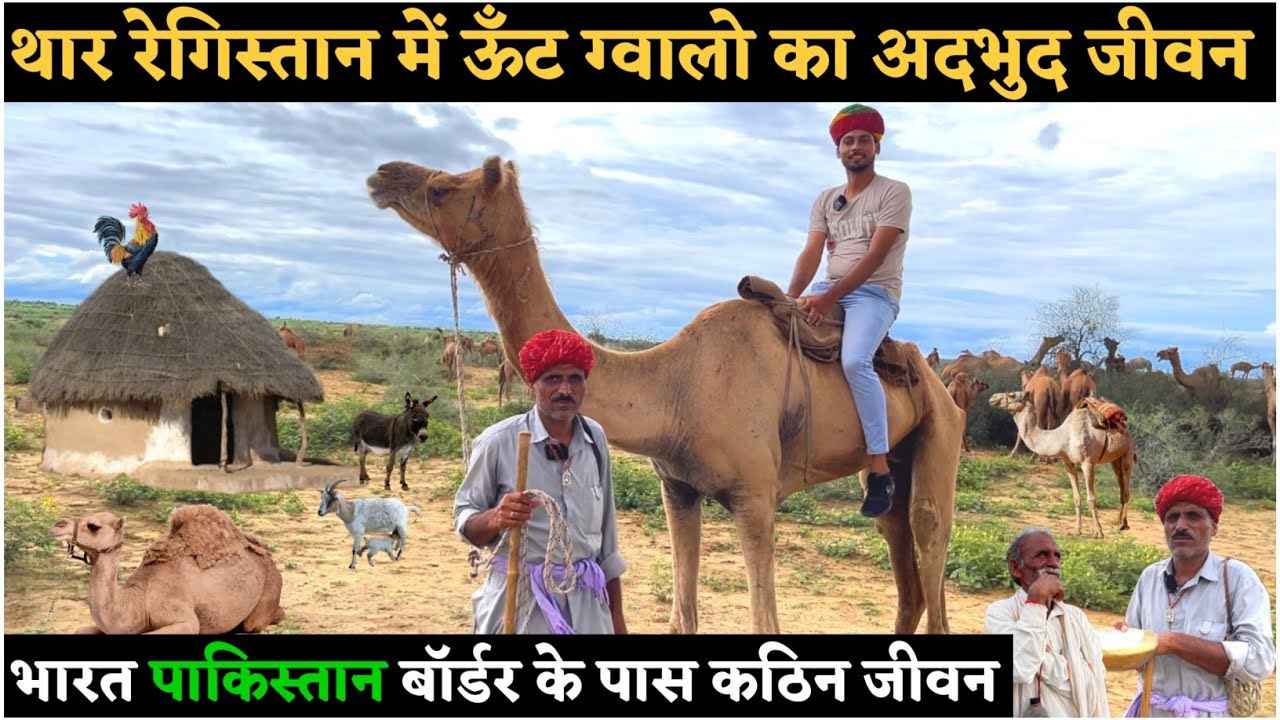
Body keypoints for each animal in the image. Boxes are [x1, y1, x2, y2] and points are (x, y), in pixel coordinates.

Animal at [50, 505, 285, 634]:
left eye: (93, 526)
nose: (58, 525)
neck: (139, 599)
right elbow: (80, 629)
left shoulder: (183, 618)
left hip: (269, 588)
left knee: (259, 621)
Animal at [368, 155, 966, 635]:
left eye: (442, 187)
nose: (381, 174)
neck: (675, 386)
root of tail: (943, 385)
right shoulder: (676, 488)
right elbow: (682, 615)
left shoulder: (755, 496)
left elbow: (763, 621)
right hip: (892, 460)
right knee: (902, 556)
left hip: (940, 430)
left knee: (929, 529)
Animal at [989, 391, 1136, 539]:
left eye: (1012, 395)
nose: (993, 398)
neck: (1063, 437)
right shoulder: (1068, 463)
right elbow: (1076, 497)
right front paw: (1076, 531)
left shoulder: (1087, 463)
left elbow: (1091, 499)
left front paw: (1098, 532)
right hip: (1115, 459)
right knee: (1121, 485)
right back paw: (1117, 521)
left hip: (1127, 452)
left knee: (1126, 487)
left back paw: (1123, 525)